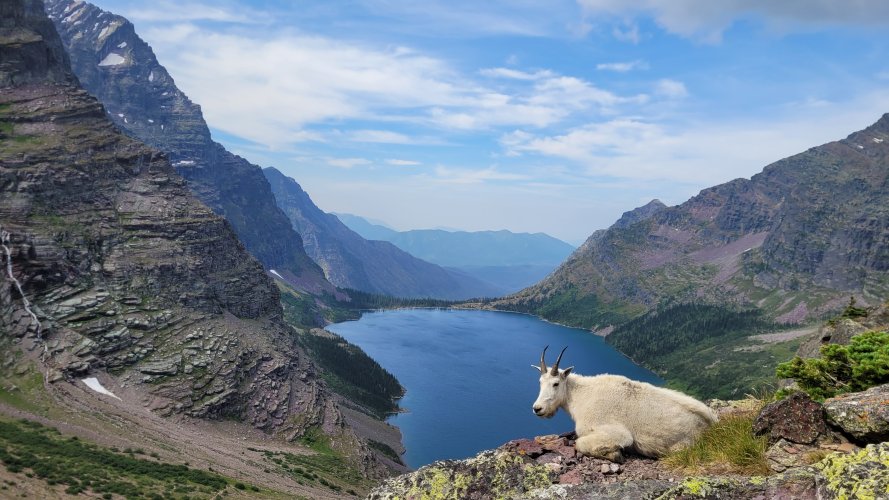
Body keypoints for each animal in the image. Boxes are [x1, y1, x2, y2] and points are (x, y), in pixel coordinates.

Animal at [536, 346, 716, 462]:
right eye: (540, 382)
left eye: (556, 384)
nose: (537, 408)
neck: (581, 396)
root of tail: (712, 424)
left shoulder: (617, 433)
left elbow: (580, 443)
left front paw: (615, 455)